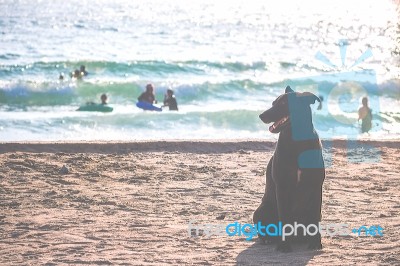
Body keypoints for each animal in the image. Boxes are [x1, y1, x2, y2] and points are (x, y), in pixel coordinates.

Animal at [253, 85, 324, 251]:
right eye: (273, 103)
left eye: (284, 104)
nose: (261, 115)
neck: (295, 141)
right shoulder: (282, 187)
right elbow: (284, 217)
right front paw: (284, 246)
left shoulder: (316, 186)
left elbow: (314, 217)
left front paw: (315, 243)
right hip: (261, 210)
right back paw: (269, 240)